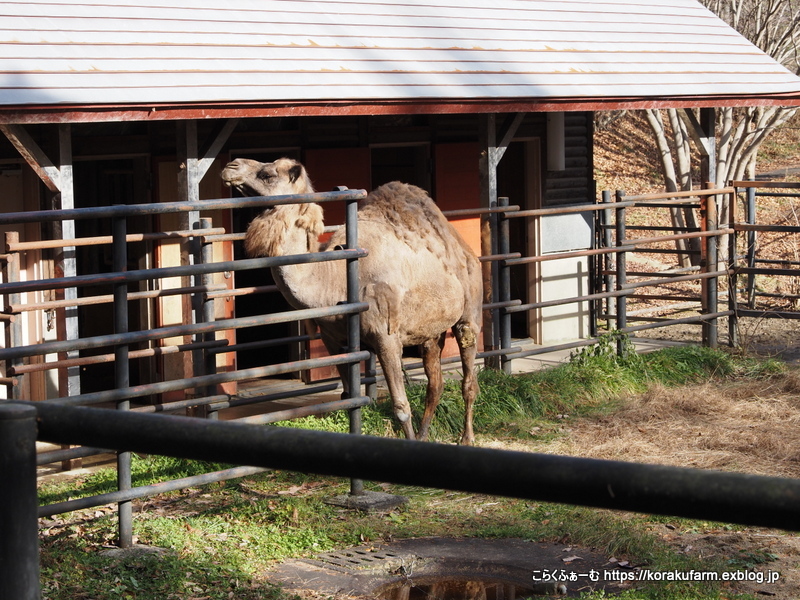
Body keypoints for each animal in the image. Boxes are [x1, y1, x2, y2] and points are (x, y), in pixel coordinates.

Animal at [220, 157, 482, 442]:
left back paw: (467, 437)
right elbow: (347, 396)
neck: (337, 280)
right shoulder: (333, 339)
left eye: (267, 174)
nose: (231, 166)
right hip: (430, 331)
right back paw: (426, 435)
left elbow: (401, 406)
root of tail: (464, 247)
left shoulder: (387, 337)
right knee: (435, 383)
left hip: (469, 310)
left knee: (468, 376)